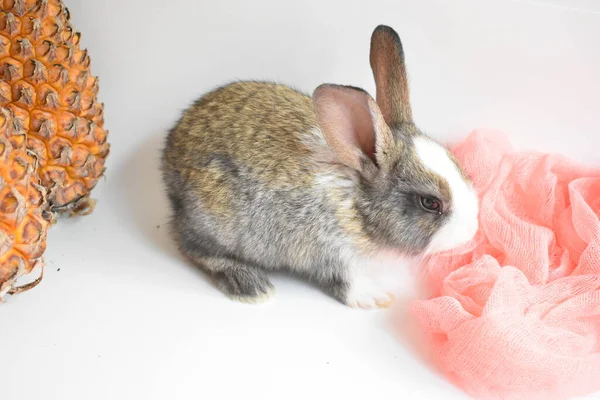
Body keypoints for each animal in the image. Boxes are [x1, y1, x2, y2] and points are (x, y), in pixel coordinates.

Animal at [162, 25, 480, 308]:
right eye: (430, 203)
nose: (472, 232)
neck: (357, 206)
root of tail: (169, 156)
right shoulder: (331, 252)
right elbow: (345, 280)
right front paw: (374, 298)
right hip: (214, 219)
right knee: (192, 246)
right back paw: (252, 285)